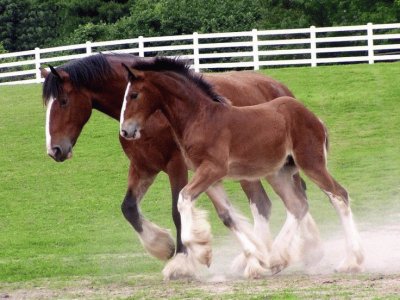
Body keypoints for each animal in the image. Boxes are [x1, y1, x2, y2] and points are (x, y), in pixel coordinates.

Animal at [42, 52, 308, 278]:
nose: (54, 150)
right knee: (277, 201)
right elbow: (129, 208)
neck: (156, 113)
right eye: (47, 105)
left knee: (272, 202)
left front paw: (181, 261)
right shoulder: (143, 167)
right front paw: (162, 245)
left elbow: (176, 211)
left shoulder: (176, 165)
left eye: (63, 101)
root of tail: (279, 87)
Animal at [120, 57, 364, 278]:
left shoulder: (212, 170)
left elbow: (183, 199)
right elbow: (227, 216)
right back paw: (276, 258)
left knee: (339, 196)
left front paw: (200, 253)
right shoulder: (210, 178)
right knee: (298, 205)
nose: (125, 131)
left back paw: (350, 262)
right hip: (279, 173)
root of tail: (314, 118)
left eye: (134, 94)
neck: (201, 118)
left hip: (311, 163)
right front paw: (254, 260)